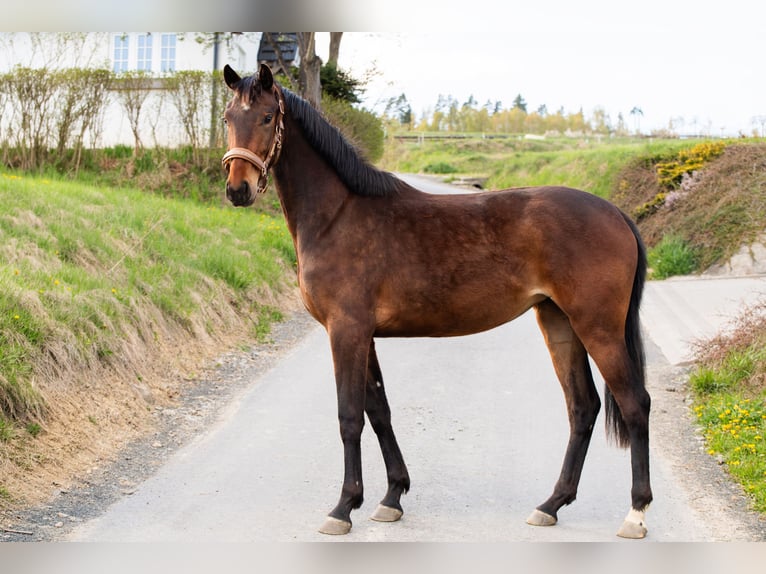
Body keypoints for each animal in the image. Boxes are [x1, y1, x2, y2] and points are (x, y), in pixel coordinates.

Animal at [221, 63, 652, 539]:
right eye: (227, 118)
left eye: (266, 117)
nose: (238, 189)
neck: (337, 216)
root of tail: (616, 214)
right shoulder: (365, 335)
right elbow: (380, 411)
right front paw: (392, 497)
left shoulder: (346, 330)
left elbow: (349, 416)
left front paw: (343, 507)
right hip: (559, 322)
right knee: (583, 407)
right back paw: (551, 504)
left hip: (598, 327)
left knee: (635, 404)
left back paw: (636, 513)